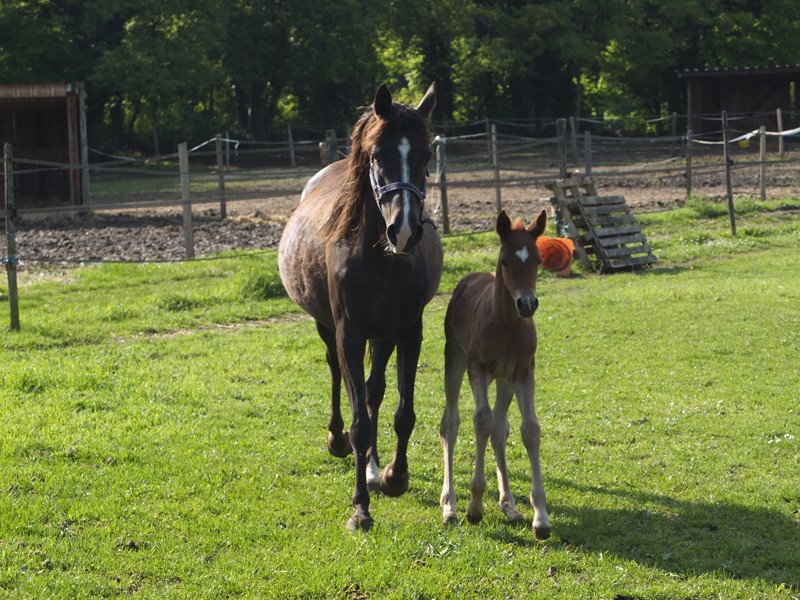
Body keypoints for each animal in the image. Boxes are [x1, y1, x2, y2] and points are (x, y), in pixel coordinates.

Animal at [278, 83, 444, 528]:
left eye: (426, 156)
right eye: (378, 156)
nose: (403, 231)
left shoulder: (408, 331)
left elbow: (401, 413)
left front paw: (393, 476)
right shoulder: (348, 333)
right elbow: (359, 424)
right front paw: (360, 509)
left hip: (382, 336)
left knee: (373, 391)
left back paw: (370, 468)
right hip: (327, 327)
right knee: (337, 375)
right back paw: (337, 442)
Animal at [440, 207, 552, 540]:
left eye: (537, 261)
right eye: (505, 260)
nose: (527, 303)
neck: (506, 325)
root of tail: (470, 277)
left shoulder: (524, 373)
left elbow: (529, 430)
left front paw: (540, 517)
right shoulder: (477, 369)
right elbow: (481, 422)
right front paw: (475, 506)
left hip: (504, 381)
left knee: (501, 431)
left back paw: (509, 506)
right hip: (454, 360)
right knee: (450, 424)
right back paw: (449, 506)